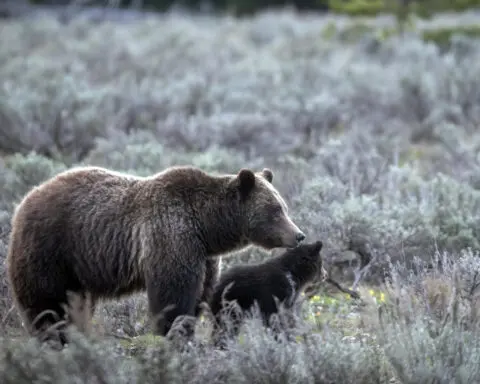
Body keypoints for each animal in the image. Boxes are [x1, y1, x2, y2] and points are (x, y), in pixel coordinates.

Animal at [5, 164, 306, 344]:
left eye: (283, 206)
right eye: (275, 210)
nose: (298, 235)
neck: (207, 227)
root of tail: (25, 199)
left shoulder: (204, 257)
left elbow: (199, 296)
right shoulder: (172, 237)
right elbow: (173, 295)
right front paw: (173, 335)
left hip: (77, 268)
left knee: (74, 303)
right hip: (52, 249)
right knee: (47, 302)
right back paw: (54, 337)